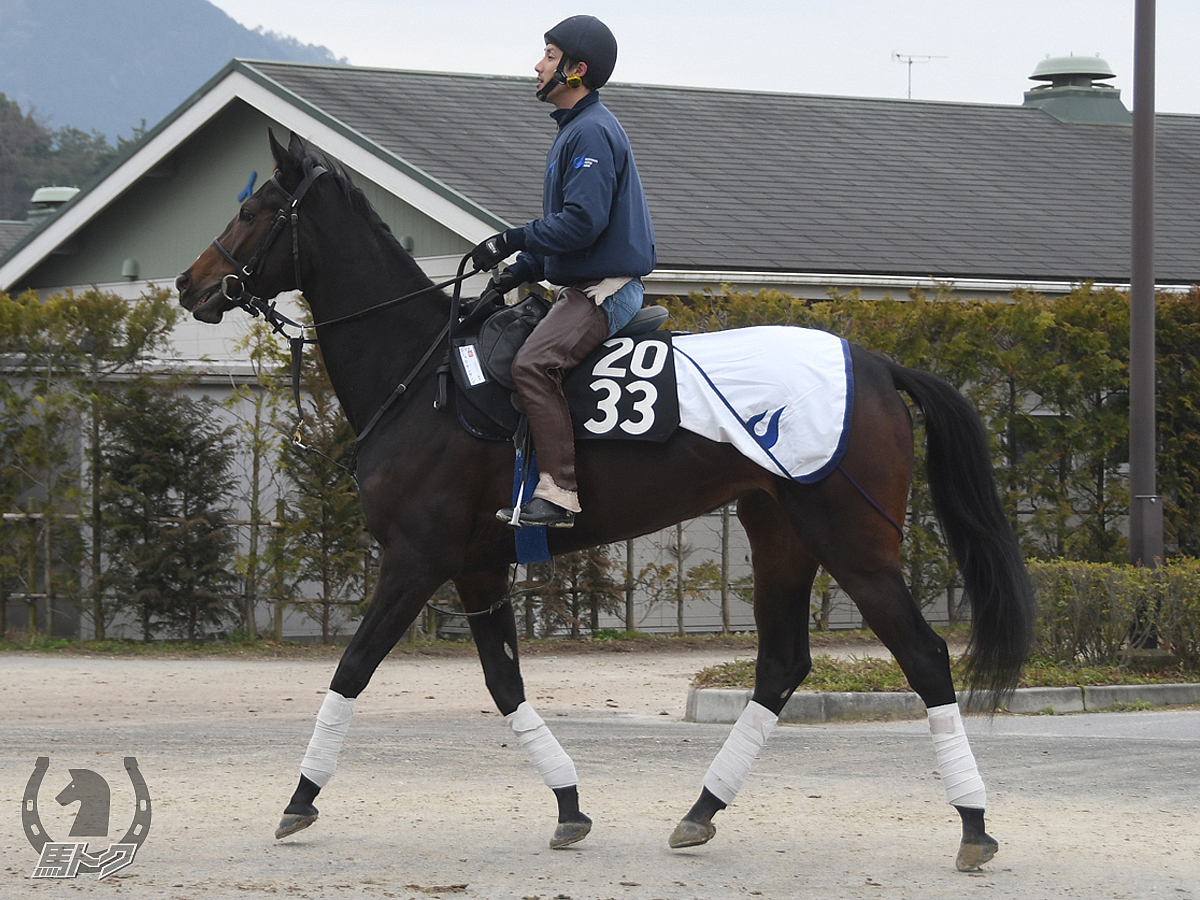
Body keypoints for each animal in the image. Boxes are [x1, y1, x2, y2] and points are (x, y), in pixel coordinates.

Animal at [175, 130, 1032, 868]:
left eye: (252, 212)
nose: (189, 284)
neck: (424, 376)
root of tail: (878, 363)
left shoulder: (415, 562)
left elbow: (351, 670)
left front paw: (299, 798)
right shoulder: (477, 568)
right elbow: (505, 685)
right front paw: (569, 804)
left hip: (853, 543)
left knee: (924, 659)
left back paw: (975, 824)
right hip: (782, 535)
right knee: (782, 666)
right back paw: (700, 811)